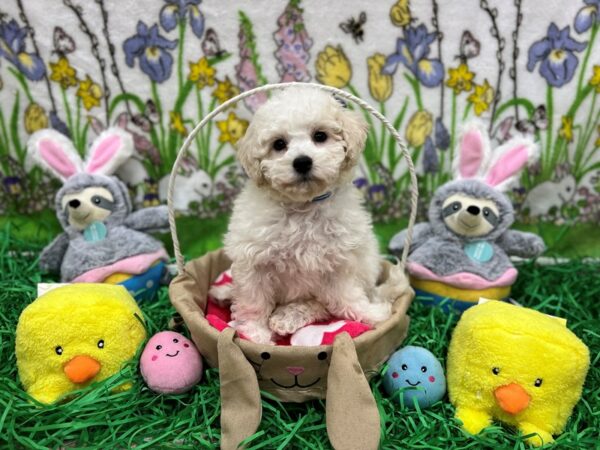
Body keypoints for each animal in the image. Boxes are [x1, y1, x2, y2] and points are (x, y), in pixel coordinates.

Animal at [223, 86, 392, 342]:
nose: (302, 162)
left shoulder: (339, 262)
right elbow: (253, 301)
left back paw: (288, 317)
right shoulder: (253, 261)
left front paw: (369, 314)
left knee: (321, 305)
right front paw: (255, 334)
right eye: (279, 144)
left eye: (320, 136)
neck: (304, 207)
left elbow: (347, 295)